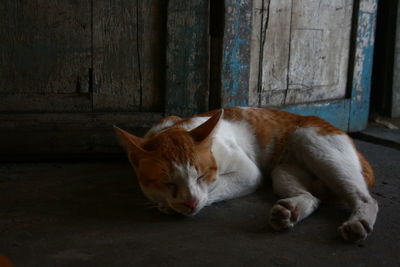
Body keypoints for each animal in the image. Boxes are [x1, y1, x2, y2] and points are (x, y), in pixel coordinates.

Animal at [115, 107, 378, 243]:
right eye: (168, 182)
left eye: (200, 176)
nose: (189, 202)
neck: (176, 127)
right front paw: (168, 203)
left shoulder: (248, 173)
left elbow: (213, 190)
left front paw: (171, 206)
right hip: (283, 170)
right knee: (313, 198)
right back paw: (289, 211)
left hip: (313, 142)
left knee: (366, 199)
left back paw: (358, 222)